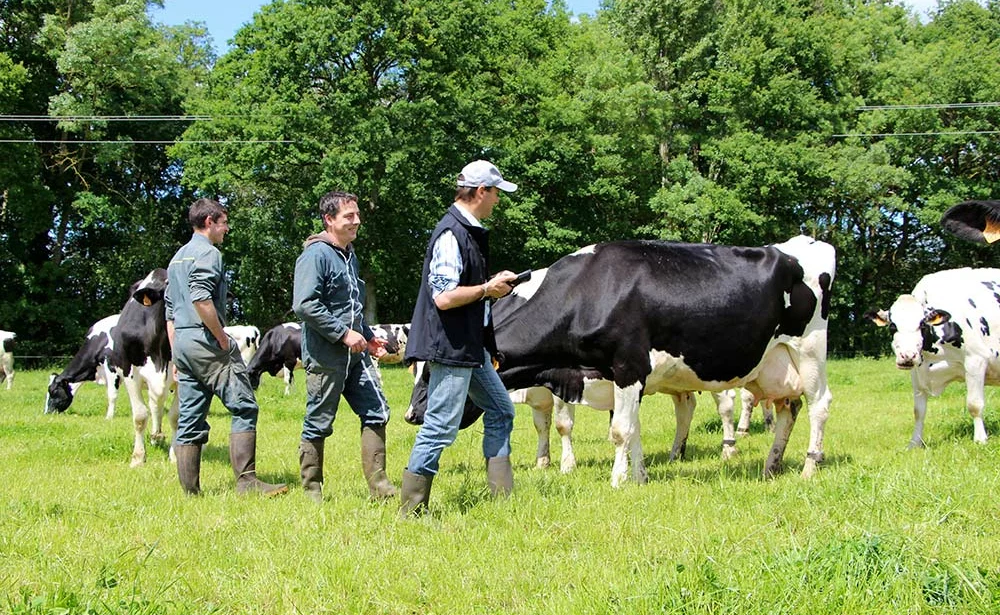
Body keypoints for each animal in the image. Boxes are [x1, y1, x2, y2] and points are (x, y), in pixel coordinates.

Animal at [494, 238, 836, 488]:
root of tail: (808, 241)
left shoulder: (628, 366)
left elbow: (619, 430)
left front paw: (615, 480)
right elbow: (632, 428)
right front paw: (639, 477)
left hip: (809, 350)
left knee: (819, 404)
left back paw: (808, 466)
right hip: (773, 365)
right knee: (788, 407)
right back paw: (771, 466)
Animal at [864, 268, 1000, 448]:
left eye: (922, 324)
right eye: (893, 326)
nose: (908, 355)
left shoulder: (975, 360)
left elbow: (974, 404)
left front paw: (980, 439)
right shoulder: (917, 371)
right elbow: (918, 411)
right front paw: (915, 443)